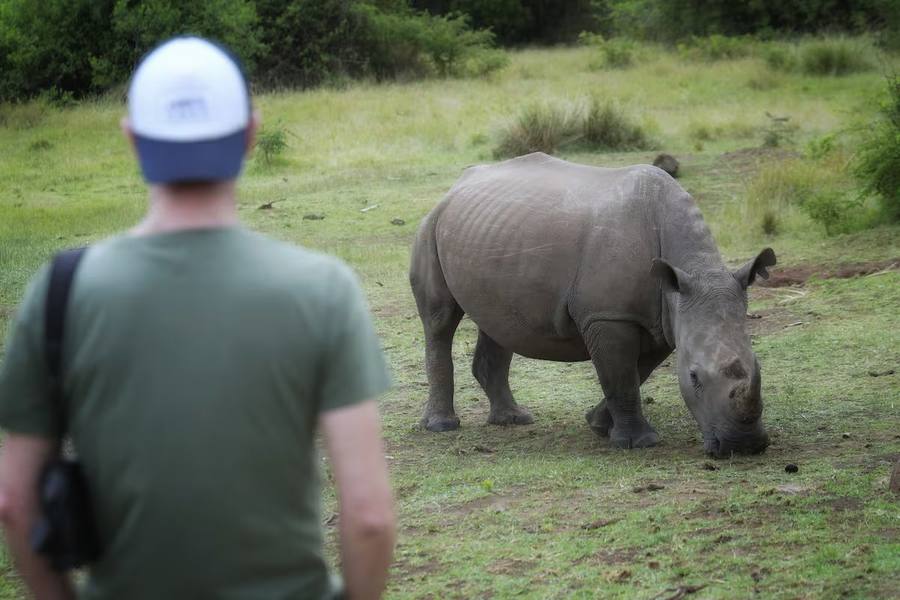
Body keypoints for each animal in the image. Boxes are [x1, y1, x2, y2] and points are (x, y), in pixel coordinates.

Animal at [409, 153, 776, 457]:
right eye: (694, 377)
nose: (742, 446)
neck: (693, 268)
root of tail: (455, 186)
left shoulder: (664, 318)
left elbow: (637, 371)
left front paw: (598, 425)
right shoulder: (610, 316)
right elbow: (620, 375)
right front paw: (637, 443)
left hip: (493, 232)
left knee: (497, 323)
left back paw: (514, 419)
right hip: (430, 227)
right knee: (440, 320)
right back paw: (442, 426)